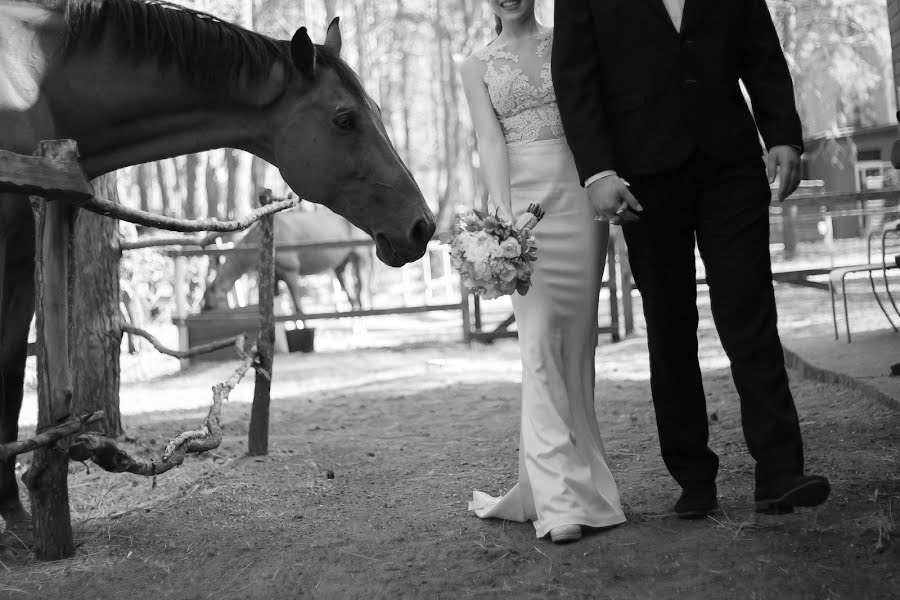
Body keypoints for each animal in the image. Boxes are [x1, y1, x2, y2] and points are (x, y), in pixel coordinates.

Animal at [202, 209, 374, 316]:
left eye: (210, 306)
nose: (203, 315)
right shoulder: (275, 277)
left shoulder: (290, 270)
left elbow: (298, 308)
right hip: (341, 264)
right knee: (352, 297)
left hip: (361, 256)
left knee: (362, 291)